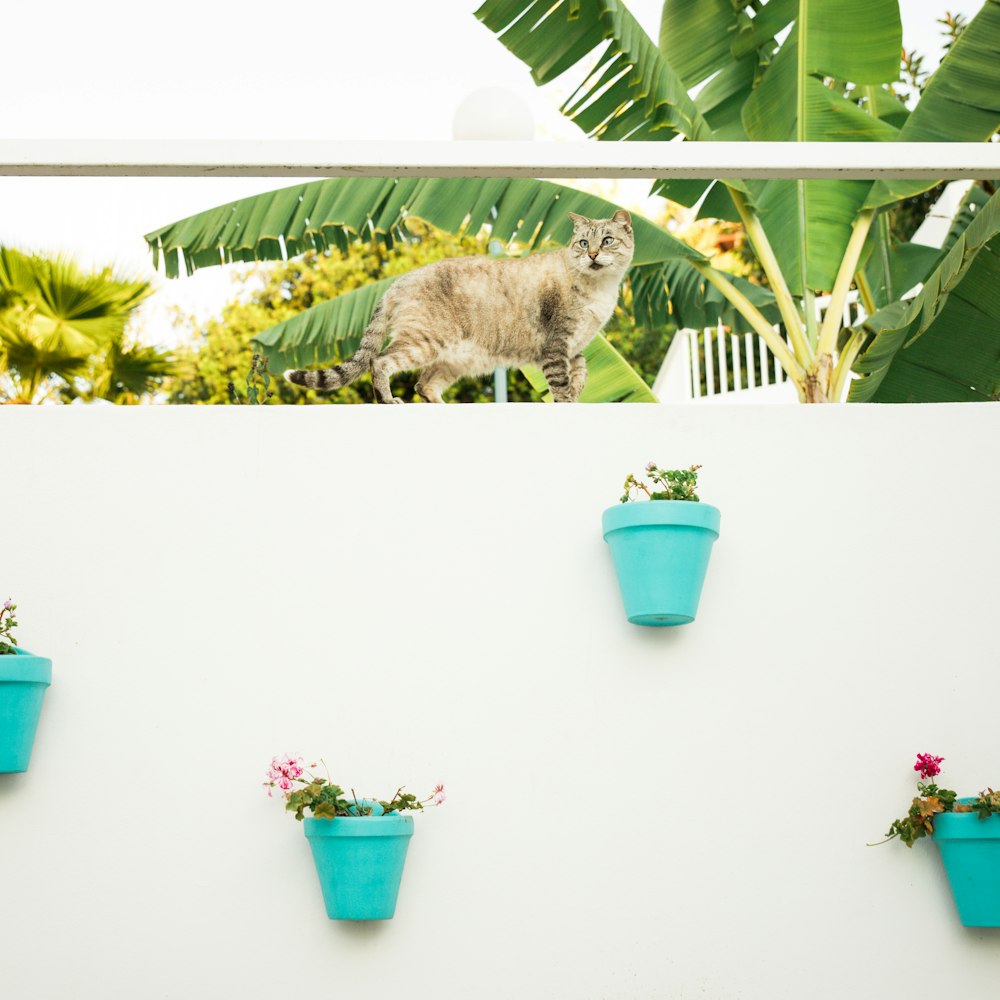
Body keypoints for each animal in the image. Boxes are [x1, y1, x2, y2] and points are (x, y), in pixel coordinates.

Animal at [286, 211, 636, 402]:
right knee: (380, 363)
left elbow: (580, 377)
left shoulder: (575, 347)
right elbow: (561, 387)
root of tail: (395, 284)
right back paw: (388, 400)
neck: (599, 288)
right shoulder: (556, 345)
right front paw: (568, 400)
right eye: (583, 243)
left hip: (454, 359)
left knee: (423, 385)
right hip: (423, 342)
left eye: (607, 241)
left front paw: (578, 394)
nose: (592, 254)